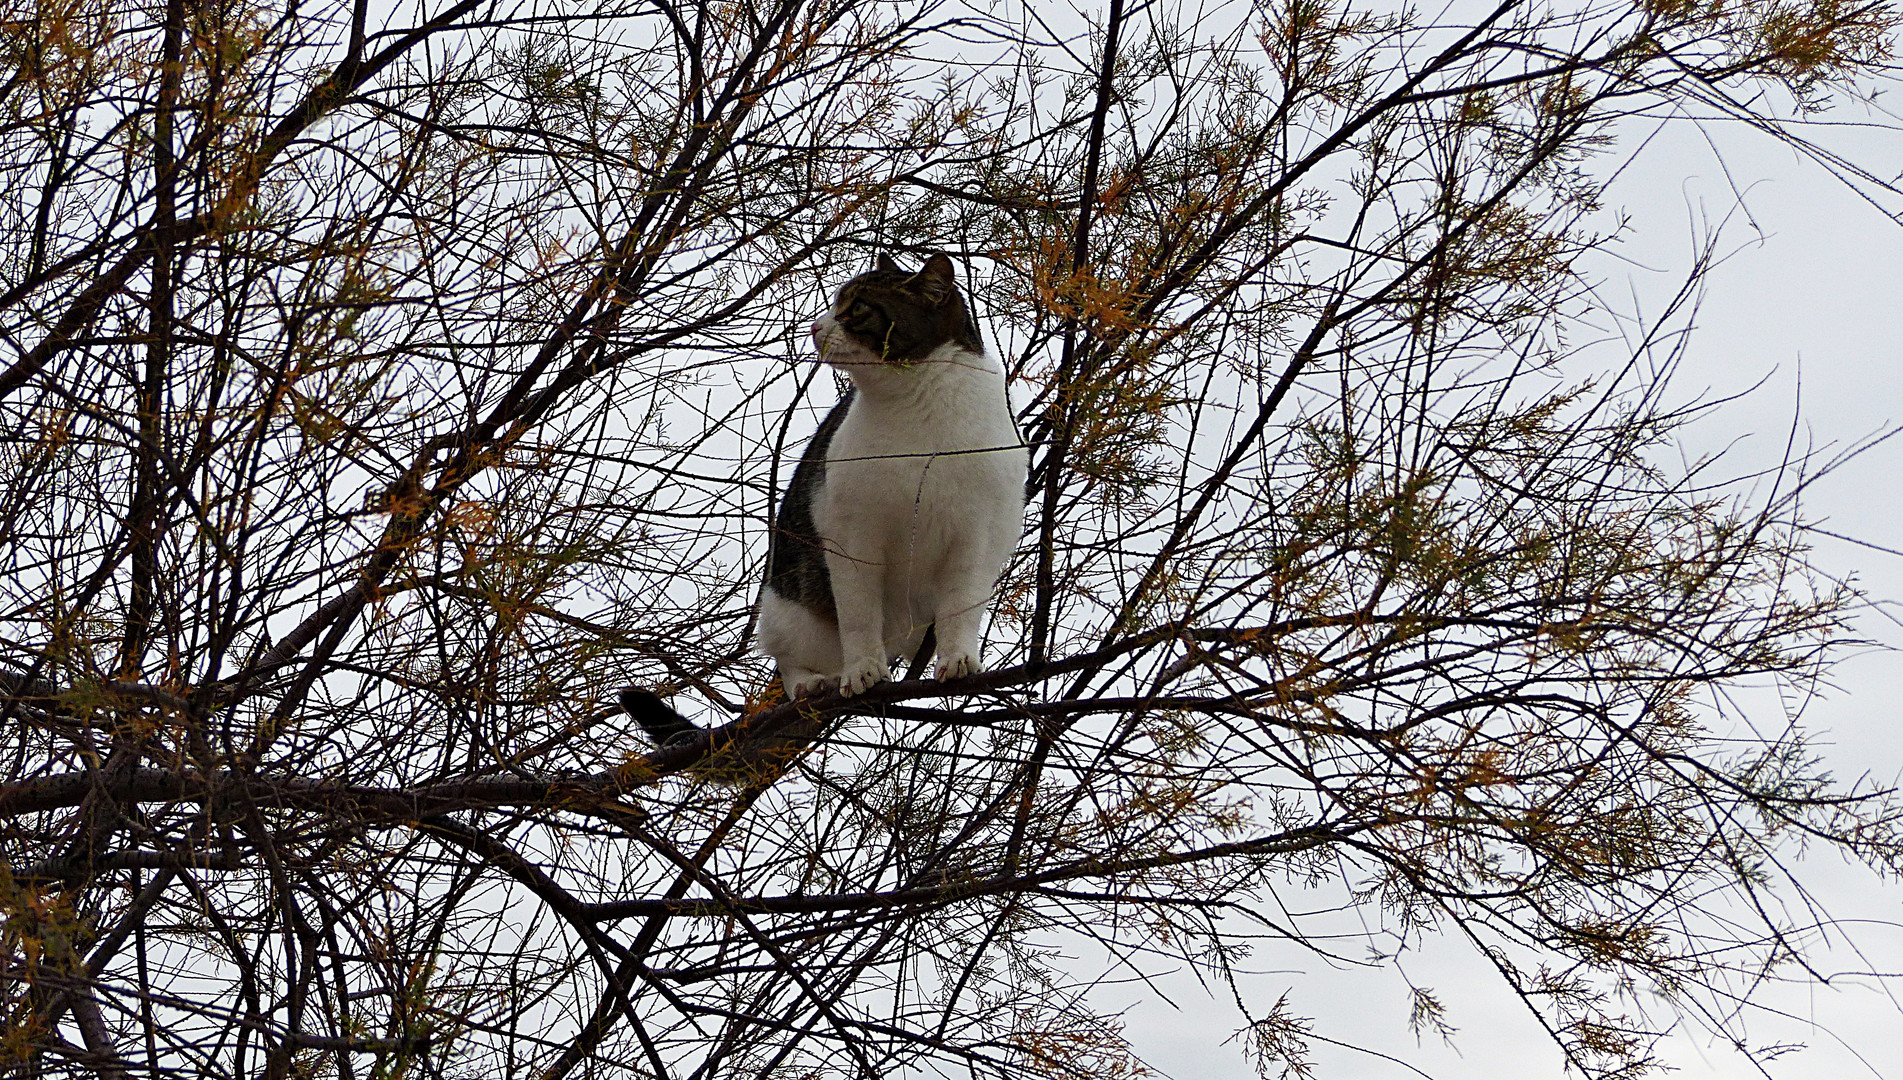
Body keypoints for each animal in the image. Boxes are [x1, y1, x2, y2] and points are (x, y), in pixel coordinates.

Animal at [624, 252, 1027, 775]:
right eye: (834, 304)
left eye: (856, 309)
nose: (816, 327)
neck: (918, 409)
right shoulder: (853, 537)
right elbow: (858, 617)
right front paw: (863, 671)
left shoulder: (976, 535)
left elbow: (961, 609)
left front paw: (958, 661)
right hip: (785, 603)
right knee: (792, 660)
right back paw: (815, 683)